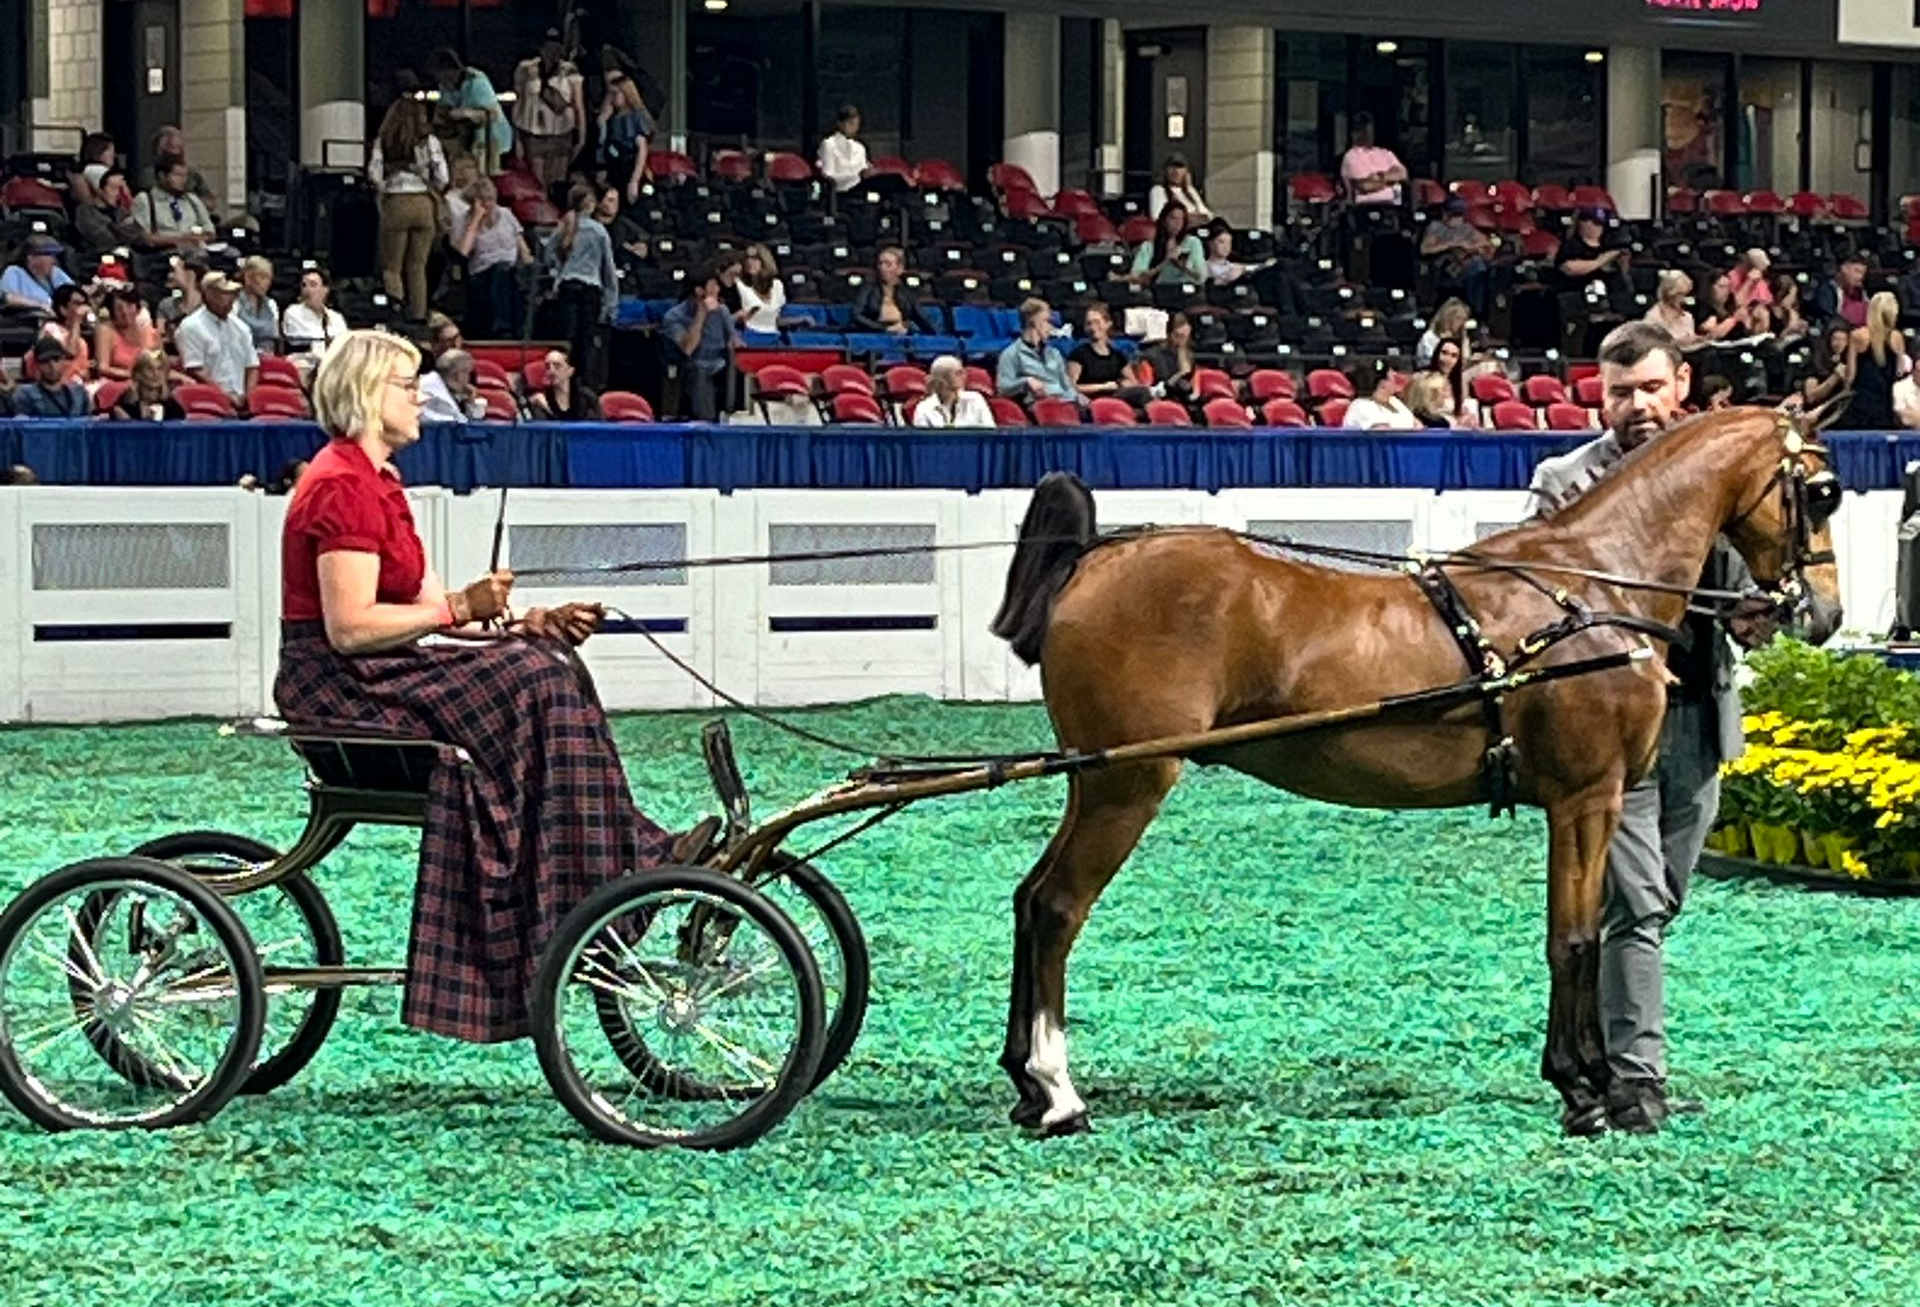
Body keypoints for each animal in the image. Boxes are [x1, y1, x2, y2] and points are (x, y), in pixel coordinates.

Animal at [988, 404, 1845, 1136]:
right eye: (1821, 491)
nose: (1824, 613)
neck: (1592, 587)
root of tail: (1097, 557)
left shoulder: (1586, 799)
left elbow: (1581, 932)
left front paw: (1589, 1081)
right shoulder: (1586, 795)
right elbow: (1573, 937)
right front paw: (1585, 1092)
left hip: (1092, 782)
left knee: (1031, 898)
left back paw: (1025, 1082)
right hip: (1126, 783)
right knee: (1059, 906)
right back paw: (1060, 1093)